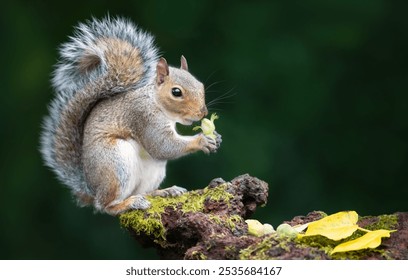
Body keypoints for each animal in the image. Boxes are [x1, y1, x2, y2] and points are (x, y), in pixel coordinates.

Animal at [39, 16, 222, 215]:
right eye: (176, 92)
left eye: (200, 85)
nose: (202, 112)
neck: (155, 102)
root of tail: (92, 189)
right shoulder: (143, 117)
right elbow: (162, 146)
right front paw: (202, 140)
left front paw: (216, 136)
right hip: (116, 164)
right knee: (106, 206)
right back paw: (129, 203)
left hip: (153, 171)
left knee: (143, 191)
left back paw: (164, 191)